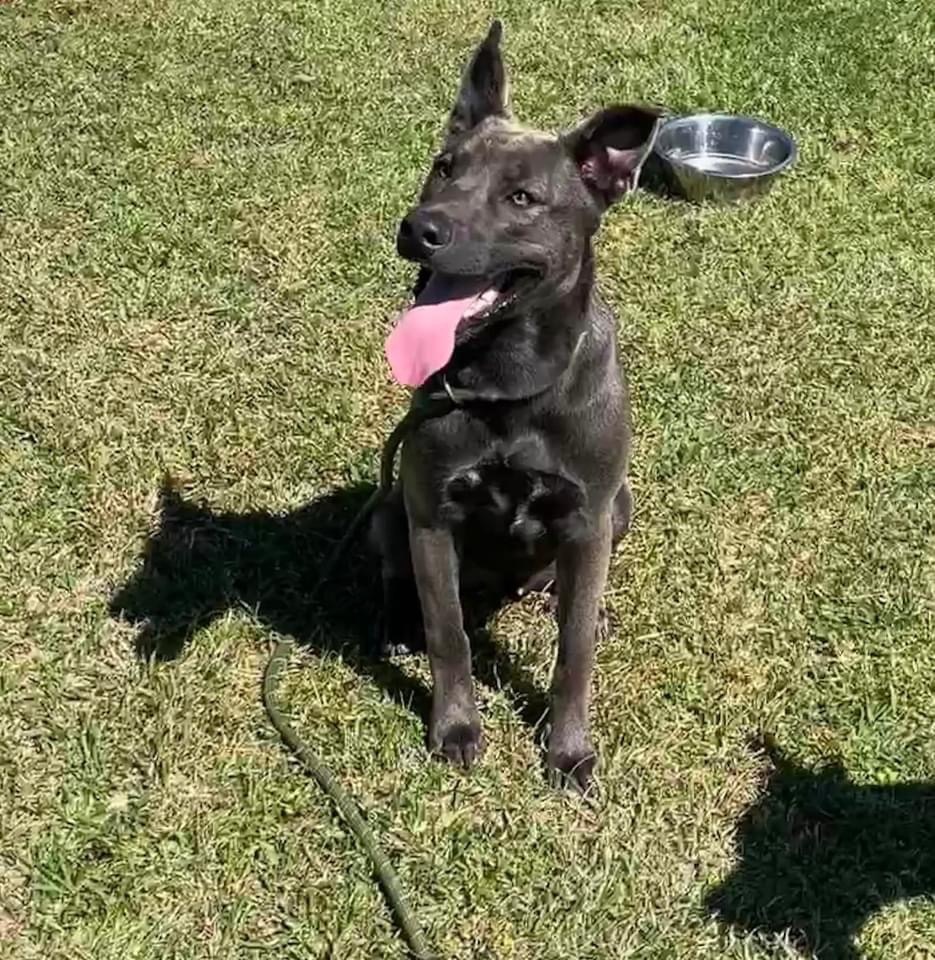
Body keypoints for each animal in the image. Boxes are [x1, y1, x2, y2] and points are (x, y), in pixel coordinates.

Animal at [370, 20, 660, 796]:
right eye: (444, 167)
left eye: (523, 198)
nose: (421, 226)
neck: (508, 379)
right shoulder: (431, 515)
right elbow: (448, 636)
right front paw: (455, 729)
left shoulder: (587, 516)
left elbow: (573, 654)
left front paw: (567, 751)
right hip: (389, 514)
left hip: (619, 505)